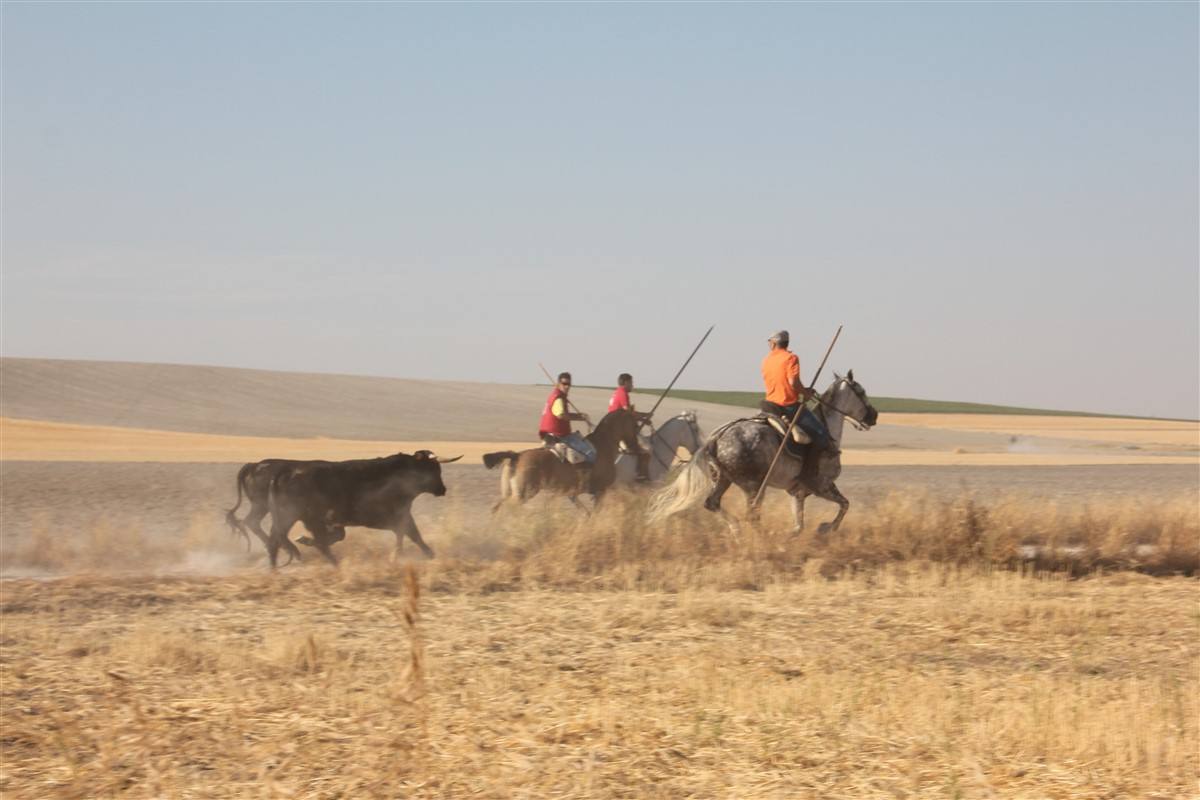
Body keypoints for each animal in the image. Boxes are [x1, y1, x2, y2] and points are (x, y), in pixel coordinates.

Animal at [260, 450, 460, 568]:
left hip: (290, 517)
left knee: (275, 540)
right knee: (290, 541)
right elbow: (411, 534)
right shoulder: (394, 516)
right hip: (297, 516)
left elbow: (408, 535)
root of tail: (284, 473)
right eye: (434, 468)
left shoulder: (399, 516)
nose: (442, 489)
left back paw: (275, 567)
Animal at [482, 407, 643, 513]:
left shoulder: (575, 494)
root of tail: (516, 456)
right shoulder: (600, 491)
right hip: (523, 494)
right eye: (635, 425)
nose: (634, 448)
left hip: (510, 493)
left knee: (496, 508)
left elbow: (587, 514)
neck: (604, 445)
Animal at [648, 374, 883, 534]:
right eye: (861, 392)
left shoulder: (797, 492)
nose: (874, 416)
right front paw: (825, 529)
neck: (827, 428)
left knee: (713, 504)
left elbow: (799, 525)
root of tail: (716, 438)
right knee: (751, 516)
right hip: (753, 486)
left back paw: (736, 530)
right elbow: (844, 505)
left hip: (724, 479)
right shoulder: (823, 485)